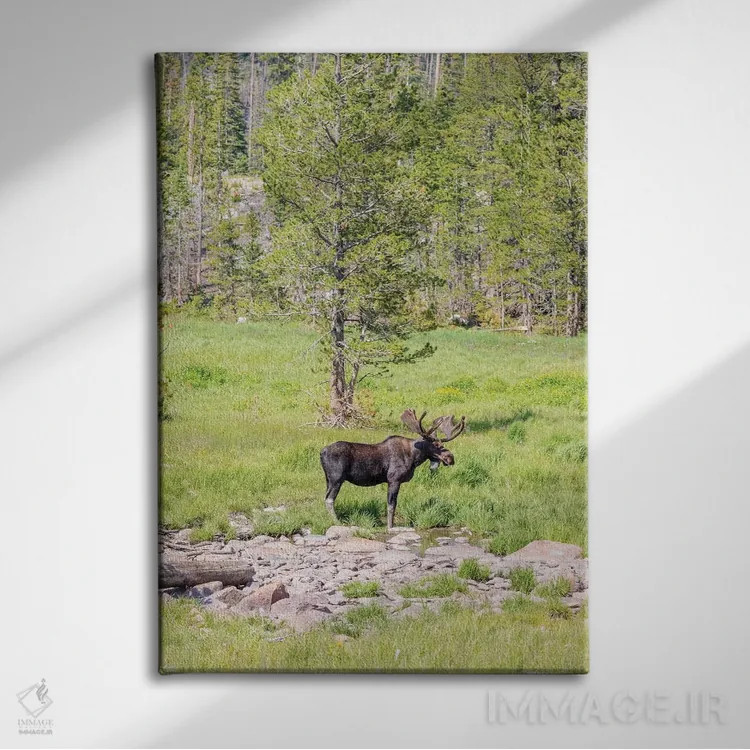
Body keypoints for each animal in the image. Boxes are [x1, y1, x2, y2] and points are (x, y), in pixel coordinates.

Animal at [320, 409, 467, 530]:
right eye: (436, 444)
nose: (450, 458)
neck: (414, 458)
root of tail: (321, 452)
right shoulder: (394, 479)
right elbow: (391, 505)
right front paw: (390, 526)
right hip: (337, 478)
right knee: (329, 499)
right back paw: (337, 522)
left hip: (328, 479)